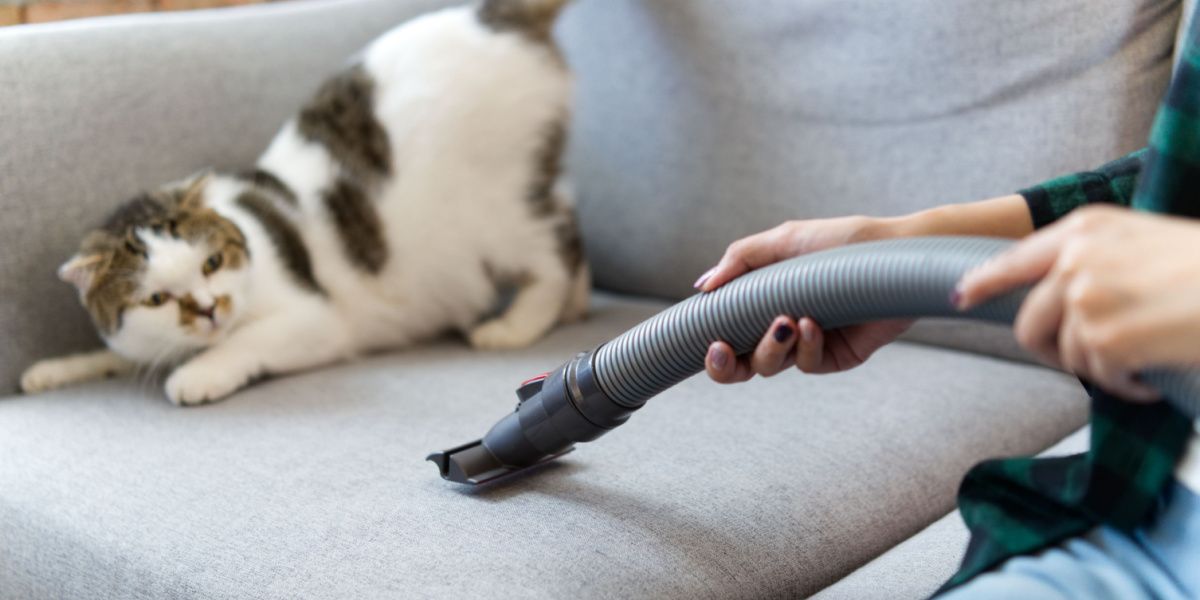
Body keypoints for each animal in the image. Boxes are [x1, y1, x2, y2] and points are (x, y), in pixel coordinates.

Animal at [14, 0, 585, 405]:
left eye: (212, 263)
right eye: (156, 299)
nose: (209, 309)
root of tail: (494, 13)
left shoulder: (315, 319)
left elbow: (245, 342)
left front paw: (197, 374)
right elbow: (114, 354)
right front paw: (57, 369)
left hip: (492, 206)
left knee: (551, 247)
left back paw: (520, 322)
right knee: (566, 211)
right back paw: (574, 304)